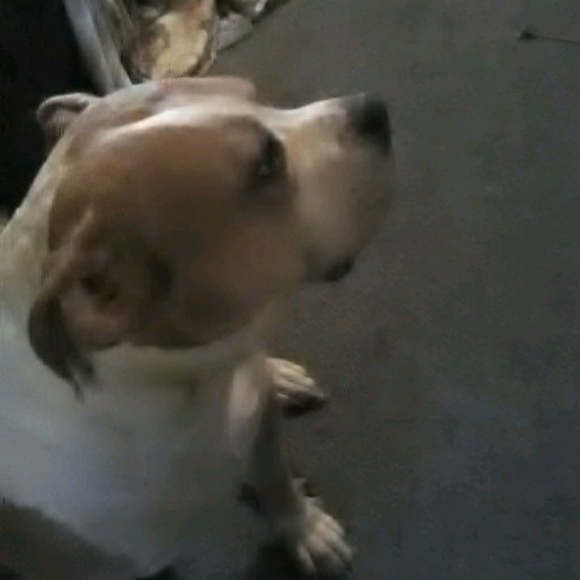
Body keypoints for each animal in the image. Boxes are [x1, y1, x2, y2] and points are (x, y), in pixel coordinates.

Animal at [0, 76, 395, 579]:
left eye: (258, 97)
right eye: (266, 166)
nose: (373, 110)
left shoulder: (258, 420)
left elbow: (275, 478)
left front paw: (303, 527)